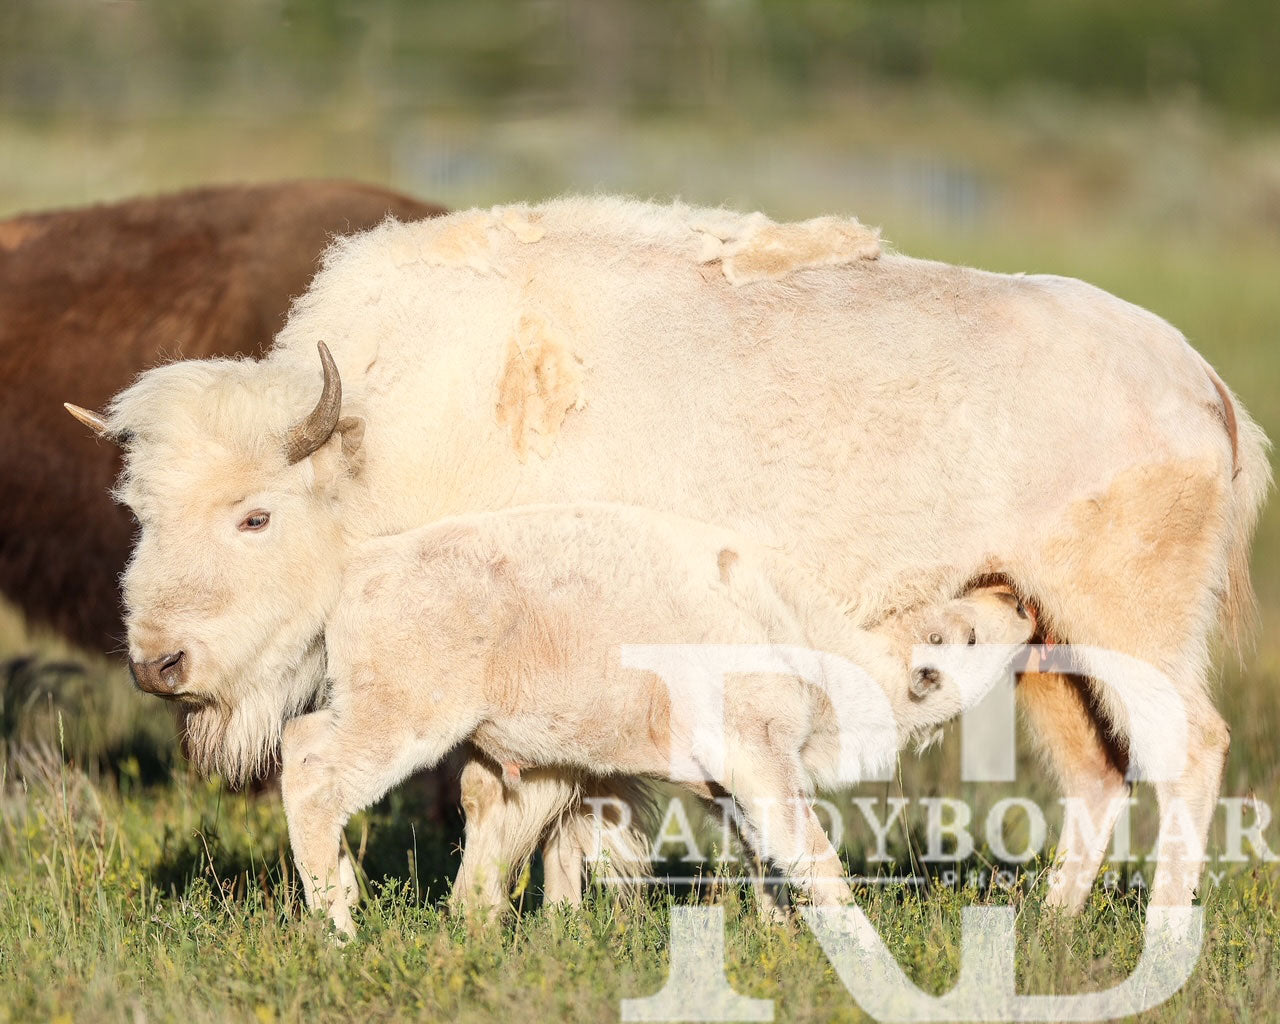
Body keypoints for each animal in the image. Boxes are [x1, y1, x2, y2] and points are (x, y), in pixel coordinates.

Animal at [70, 195, 1269, 906]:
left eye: (254, 515)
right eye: (136, 507)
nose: (161, 662)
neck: (393, 425)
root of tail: (1198, 380)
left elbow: (534, 804)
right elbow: (551, 800)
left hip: (1126, 626)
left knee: (1188, 746)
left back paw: (1162, 931)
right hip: (1041, 638)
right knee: (1095, 773)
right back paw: (1055, 927)